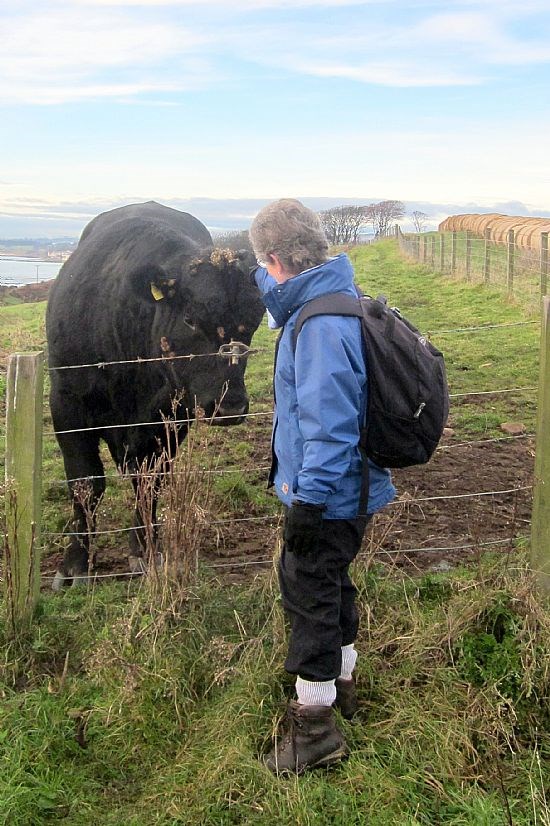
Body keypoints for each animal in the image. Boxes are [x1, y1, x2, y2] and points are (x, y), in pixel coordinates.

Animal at [46, 201, 265, 589]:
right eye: (190, 318)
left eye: (253, 320)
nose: (230, 406)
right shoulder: (66, 404)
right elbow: (85, 482)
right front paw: (74, 565)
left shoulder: (171, 418)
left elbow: (149, 483)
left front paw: (145, 552)